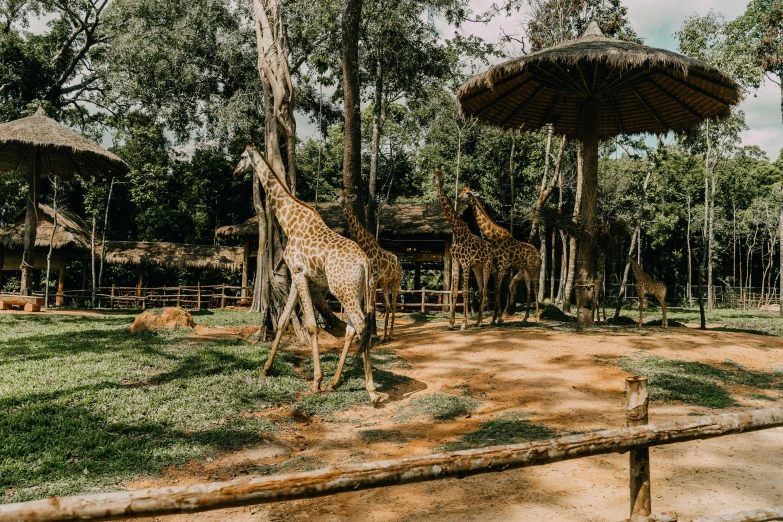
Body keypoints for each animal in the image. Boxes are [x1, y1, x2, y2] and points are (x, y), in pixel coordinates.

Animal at [231, 144, 382, 404]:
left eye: (242, 157)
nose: (235, 172)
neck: (289, 221)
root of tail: (365, 263)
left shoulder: (300, 273)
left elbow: (311, 325)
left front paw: (316, 380)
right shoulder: (299, 278)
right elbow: (283, 321)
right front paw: (266, 369)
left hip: (344, 291)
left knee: (362, 325)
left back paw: (371, 391)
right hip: (358, 292)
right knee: (353, 328)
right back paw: (335, 382)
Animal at [338, 189, 404, 340]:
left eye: (348, 197)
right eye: (339, 195)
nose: (342, 202)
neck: (366, 247)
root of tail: (399, 263)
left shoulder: (373, 279)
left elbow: (371, 308)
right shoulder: (369, 280)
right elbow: (366, 308)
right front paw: (361, 337)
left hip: (396, 280)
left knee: (394, 304)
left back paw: (391, 335)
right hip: (385, 282)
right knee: (387, 305)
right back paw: (384, 337)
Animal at [432, 169, 494, 328]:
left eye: (468, 193)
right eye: (434, 176)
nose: (437, 184)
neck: (457, 232)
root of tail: (490, 247)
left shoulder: (465, 262)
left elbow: (465, 291)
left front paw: (464, 323)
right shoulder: (456, 261)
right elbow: (454, 292)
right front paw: (451, 322)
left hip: (487, 264)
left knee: (485, 290)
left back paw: (479, 322)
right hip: (477, 267)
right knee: (480, 289)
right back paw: (478, 321)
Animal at [456, 183, 544, 320]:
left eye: (468, 193)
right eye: (462, 191)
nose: (458, 198)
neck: (493, 237)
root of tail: (539, 256)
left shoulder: (502, 265)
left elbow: (498, 289)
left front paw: (497, 318)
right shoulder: (495, 265)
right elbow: (496, 289)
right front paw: (496, 318)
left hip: (535, 268)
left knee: (536, 288)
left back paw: (537, 317)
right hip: (526, 270)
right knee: (529, 290)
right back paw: (525, 317)